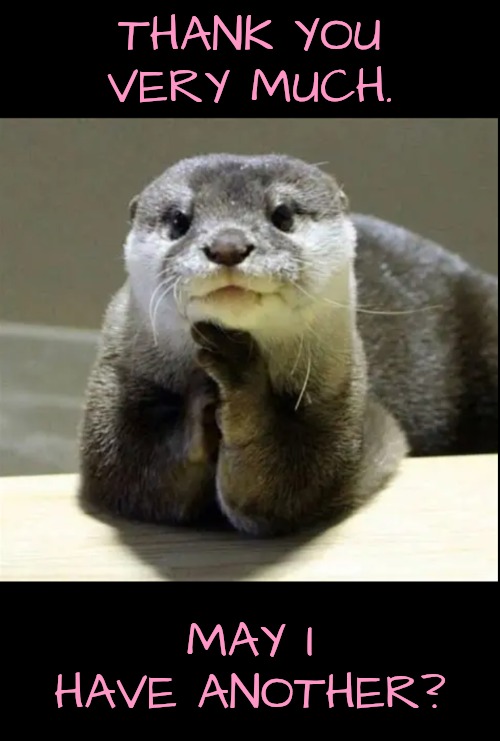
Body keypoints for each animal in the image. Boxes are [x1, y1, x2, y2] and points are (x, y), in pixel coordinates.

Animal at [79, 153, 498, 536]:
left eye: (282, 215)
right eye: (180, 220)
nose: (228, 245)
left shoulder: (342, 397)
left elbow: (285, 487)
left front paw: (241, 383)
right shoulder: (118, 381)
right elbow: (131, 476)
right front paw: (201, 405)